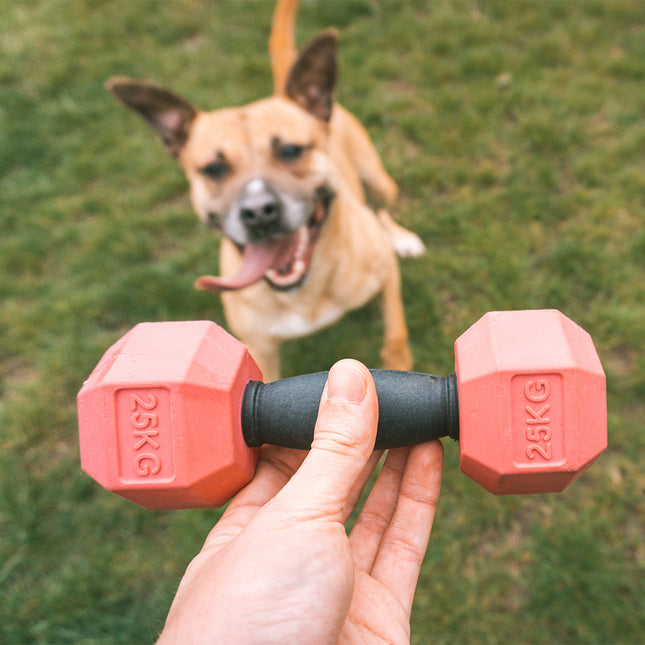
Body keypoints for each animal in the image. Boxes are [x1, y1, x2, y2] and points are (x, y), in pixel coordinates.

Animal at [108, 0, 426, 380]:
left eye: (289, 150)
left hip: (379, 183)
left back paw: (402, 237)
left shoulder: (387, 277)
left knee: (381, 209)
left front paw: (399, 365)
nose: (259, 212)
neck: (303, 292)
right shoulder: (260, 350)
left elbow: (396, 334)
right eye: (213, 168)